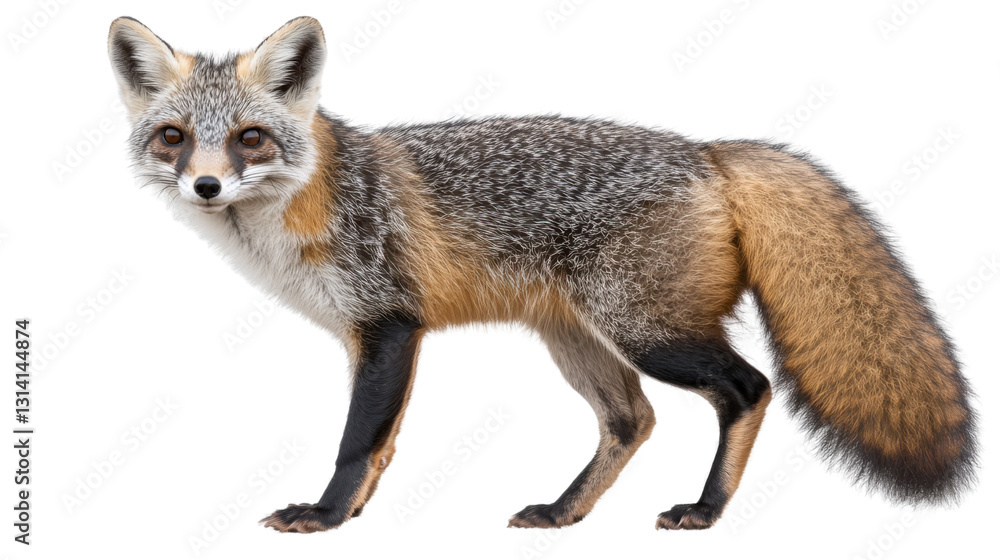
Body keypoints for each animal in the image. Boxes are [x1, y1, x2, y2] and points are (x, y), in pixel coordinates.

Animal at [107, 16, 978, 533]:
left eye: (249, 139)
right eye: (174, 138)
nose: (205, 186)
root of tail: (706, 152)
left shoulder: (390, 324)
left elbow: (359, 440)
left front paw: (323, 517)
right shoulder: (367, 336)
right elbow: (383, 446)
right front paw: (352, 517)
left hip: (652, 335)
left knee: (749, 388)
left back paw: (706, 509)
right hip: (577, 343)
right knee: (631, 421)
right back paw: (565, 512)